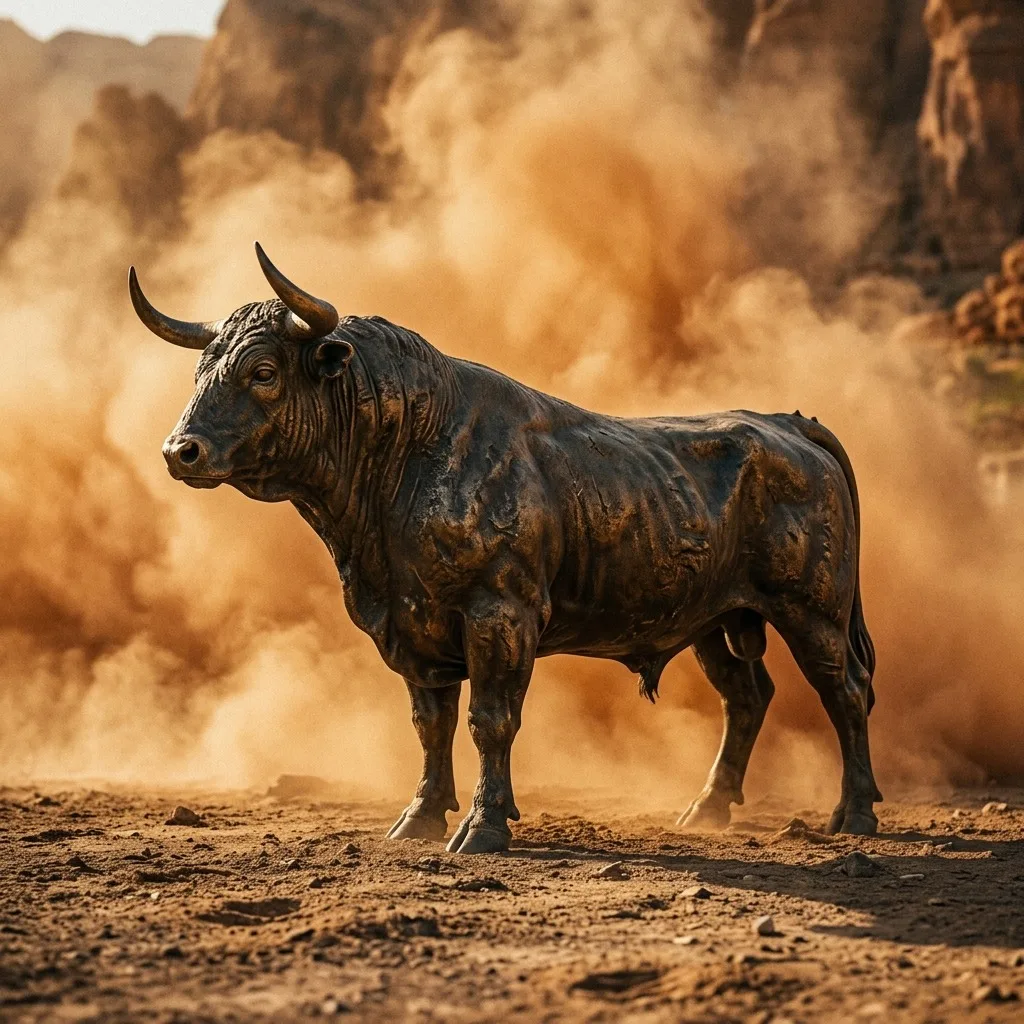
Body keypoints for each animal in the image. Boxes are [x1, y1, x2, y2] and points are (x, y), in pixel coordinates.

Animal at [129, 244, 881, 853]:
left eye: (262, 371)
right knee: (747, 696)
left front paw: (483, 826)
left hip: (811, 611)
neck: (403, 458)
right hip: (715, 619)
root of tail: (785, 424)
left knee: (844, 690)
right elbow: (430, 724)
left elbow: (489, 720)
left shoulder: (499, 615)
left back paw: (855, 814)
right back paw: (706, 810)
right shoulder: (410, 625)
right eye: (201, 372)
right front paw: (419, 819)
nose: (179, 451)